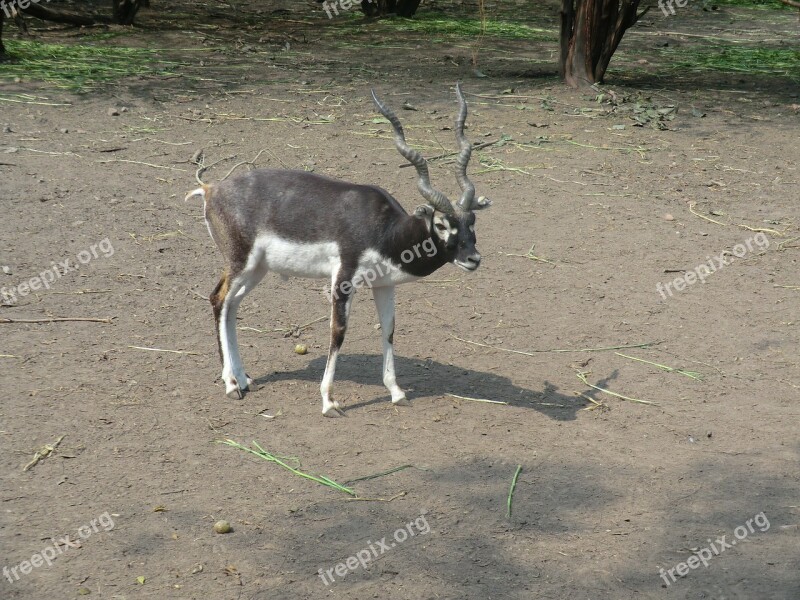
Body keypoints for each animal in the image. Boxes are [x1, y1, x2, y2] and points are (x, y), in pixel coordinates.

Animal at [189, 84, 488, 418]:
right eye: (440, 224)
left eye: (471, 220)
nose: (473, 258)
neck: (384, 227)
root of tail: (212, 189)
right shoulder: (343, 277)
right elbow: (338, 331)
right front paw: (329, 401)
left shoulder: (384, 284)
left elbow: (389, 330)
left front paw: (396, 392)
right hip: (240, 263)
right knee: (219, 300)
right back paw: (230, 385)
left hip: (256, 269)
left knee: (231, 306)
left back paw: (242, 378)